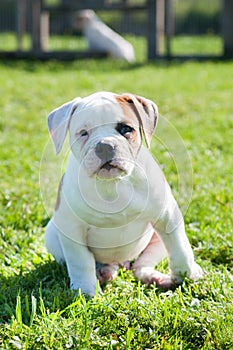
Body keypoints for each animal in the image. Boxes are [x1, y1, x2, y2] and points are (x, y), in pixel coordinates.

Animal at [45, 91, 202, 296]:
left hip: (156, 240)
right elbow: (80, 262)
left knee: (142, 265)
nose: (104, 146)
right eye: (83, 133)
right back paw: (103, 273)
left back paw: (154, 278)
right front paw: (86, 292)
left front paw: (188, 274)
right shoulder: (72, 229)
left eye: (126, 129)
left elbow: (180, 248)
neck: (114, 184)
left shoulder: (168, 216)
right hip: (52, 235)